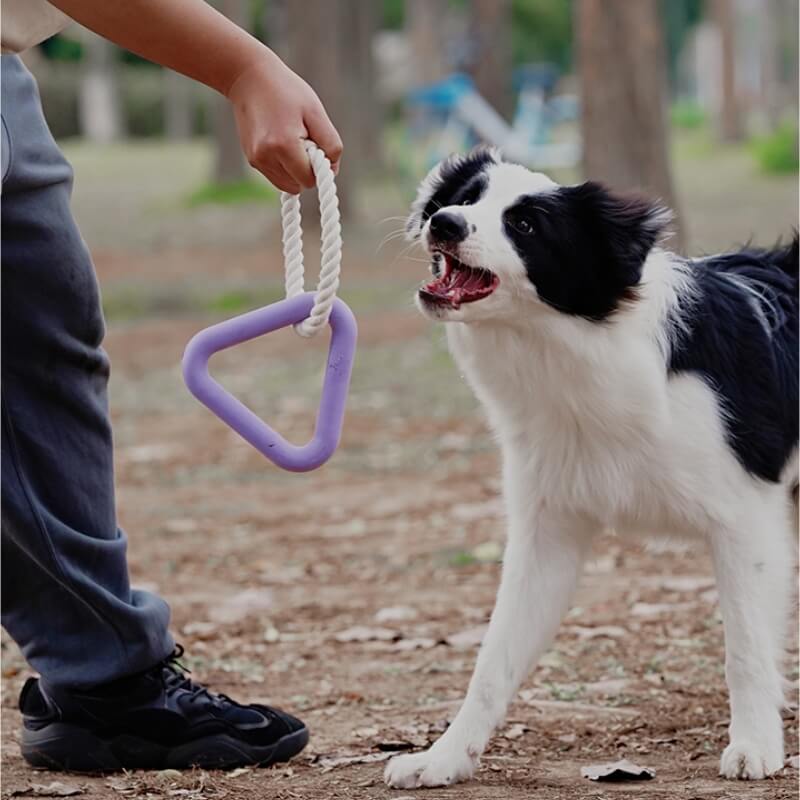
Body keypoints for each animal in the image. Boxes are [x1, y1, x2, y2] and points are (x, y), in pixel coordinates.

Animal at [384, 148, 796, 788]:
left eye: (526, 225)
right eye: (467, 198)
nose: (444, 222)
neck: (580, 352)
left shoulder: (744, 521)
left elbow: (746, 647)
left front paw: (754, 744)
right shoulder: (546, 532)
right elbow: (492, 660)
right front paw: (444, 757)